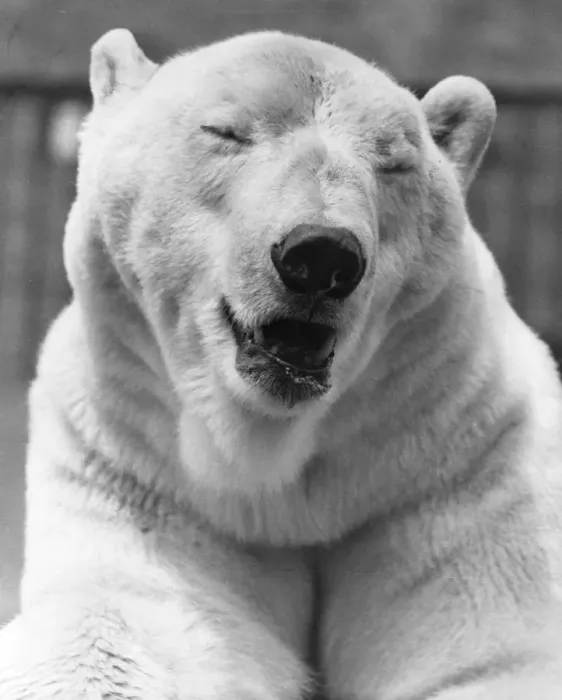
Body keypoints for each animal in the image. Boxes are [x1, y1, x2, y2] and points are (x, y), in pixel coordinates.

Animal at [1, 26, 562, 700]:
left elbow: (489, 656)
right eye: (225, 131)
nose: (321, 256)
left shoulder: (453, 466)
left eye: (394, 161)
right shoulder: (139, 471)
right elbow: (125, 631)